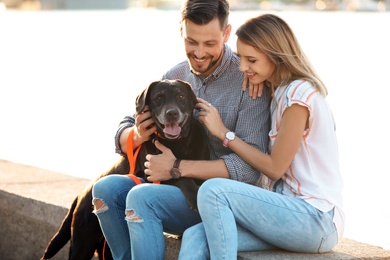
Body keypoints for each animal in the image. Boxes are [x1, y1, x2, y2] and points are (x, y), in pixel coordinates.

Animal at [40, 79, 210, 260]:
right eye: (158, 98)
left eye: (180, 96)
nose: (171, 113)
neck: (178, 143)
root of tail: (81, 193)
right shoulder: (154, 172)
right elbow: (181, 177)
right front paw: (195, 195)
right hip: (83, 241)